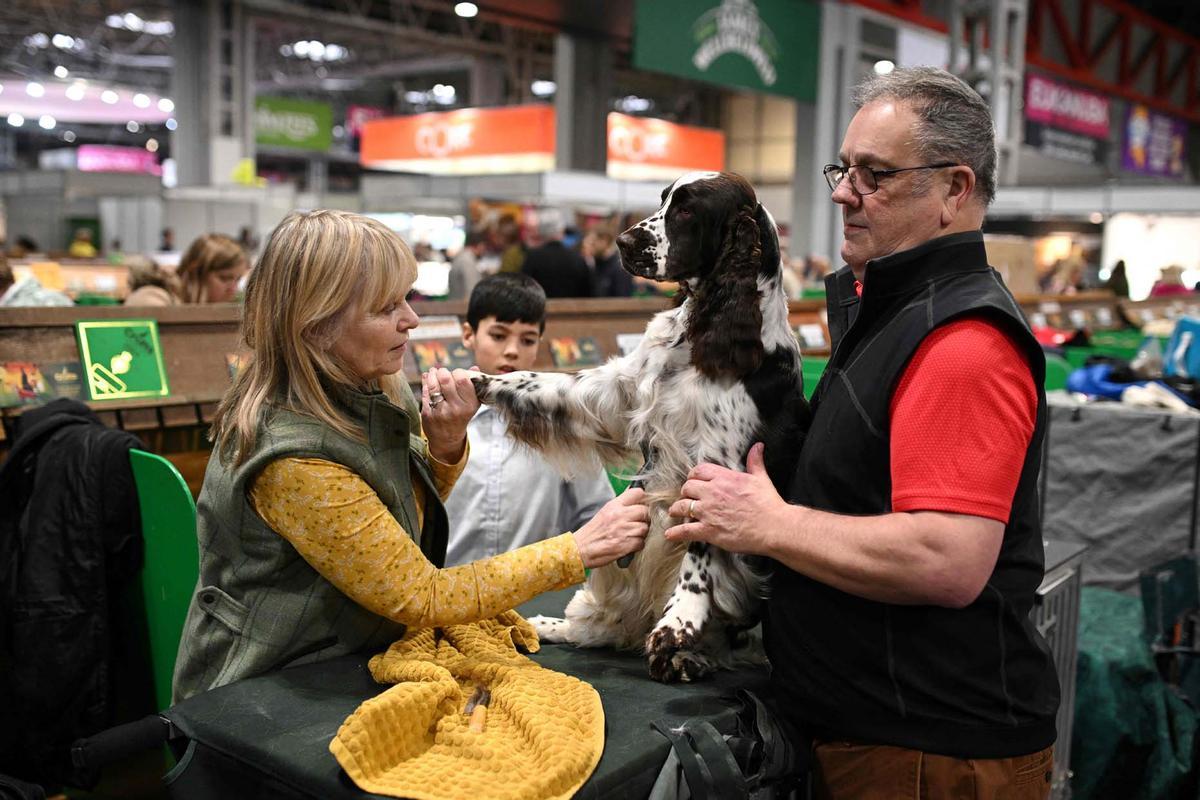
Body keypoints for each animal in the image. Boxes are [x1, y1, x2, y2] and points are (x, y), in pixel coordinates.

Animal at [468, 170, 806, 681]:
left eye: (686, 210)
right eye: (663, 198)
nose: (622, 242)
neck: (702, 331)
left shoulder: (719, 467)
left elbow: (700, 552)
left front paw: (677, 625)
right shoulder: (620, 393)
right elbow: (551, 384)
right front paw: (477, 379)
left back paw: (690, 656)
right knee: (602, 624)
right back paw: (548, 625)